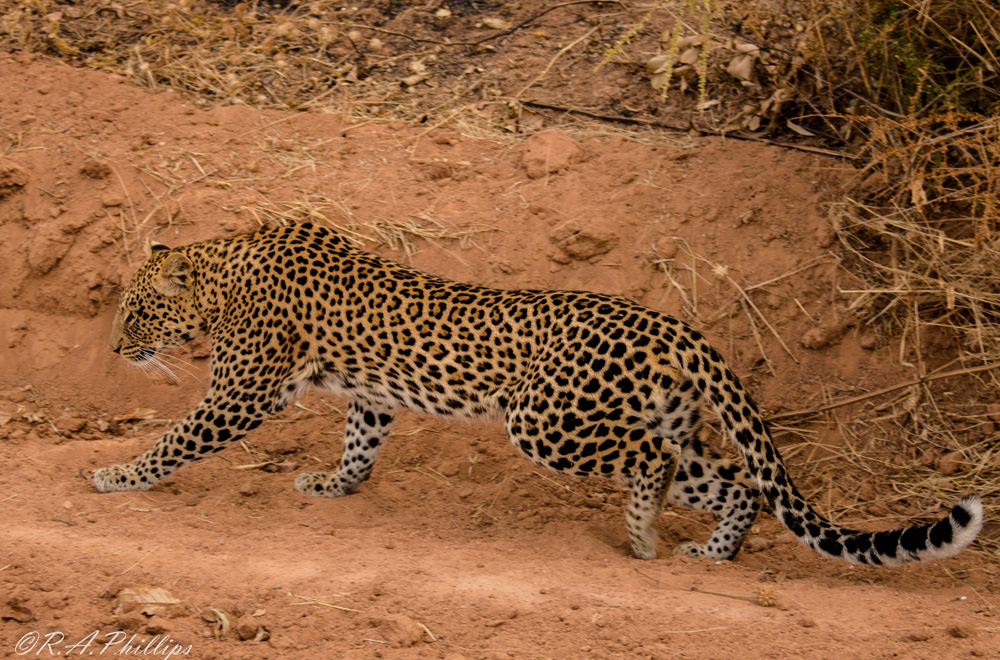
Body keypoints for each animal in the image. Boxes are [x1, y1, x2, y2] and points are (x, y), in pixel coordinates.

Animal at [94, 224, 984, 564]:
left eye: (136, 312)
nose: (114, 347)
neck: (220, 273)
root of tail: (673, 325)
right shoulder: (373, 394)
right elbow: (360, 440)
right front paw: (333, 483)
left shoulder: (240, 393)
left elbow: (176, 439)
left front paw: (115, 476)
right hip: (666, 424)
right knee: (733, 482)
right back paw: (710, 551)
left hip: (549, 421)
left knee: (651, 461)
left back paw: (641, 533)